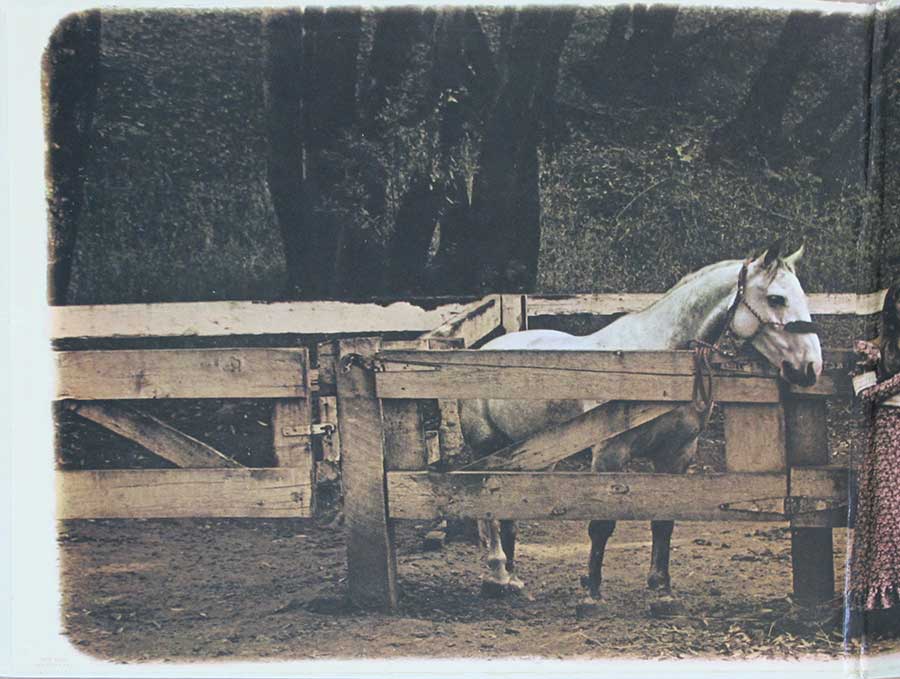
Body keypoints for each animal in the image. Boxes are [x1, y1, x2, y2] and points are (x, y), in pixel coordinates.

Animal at [464, 243, 824, 612]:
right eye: (777, 298)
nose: (811, 367)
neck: (658, 366)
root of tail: (488, 349)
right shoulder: (610, 455)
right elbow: (602, 525)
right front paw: (592, 594)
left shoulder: (676, 454)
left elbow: (663, 522)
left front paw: (662, 591)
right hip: (486, 451)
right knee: (488, 511)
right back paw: (498, 575)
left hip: (530, 455)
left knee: (508, 511)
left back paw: (514, 578)